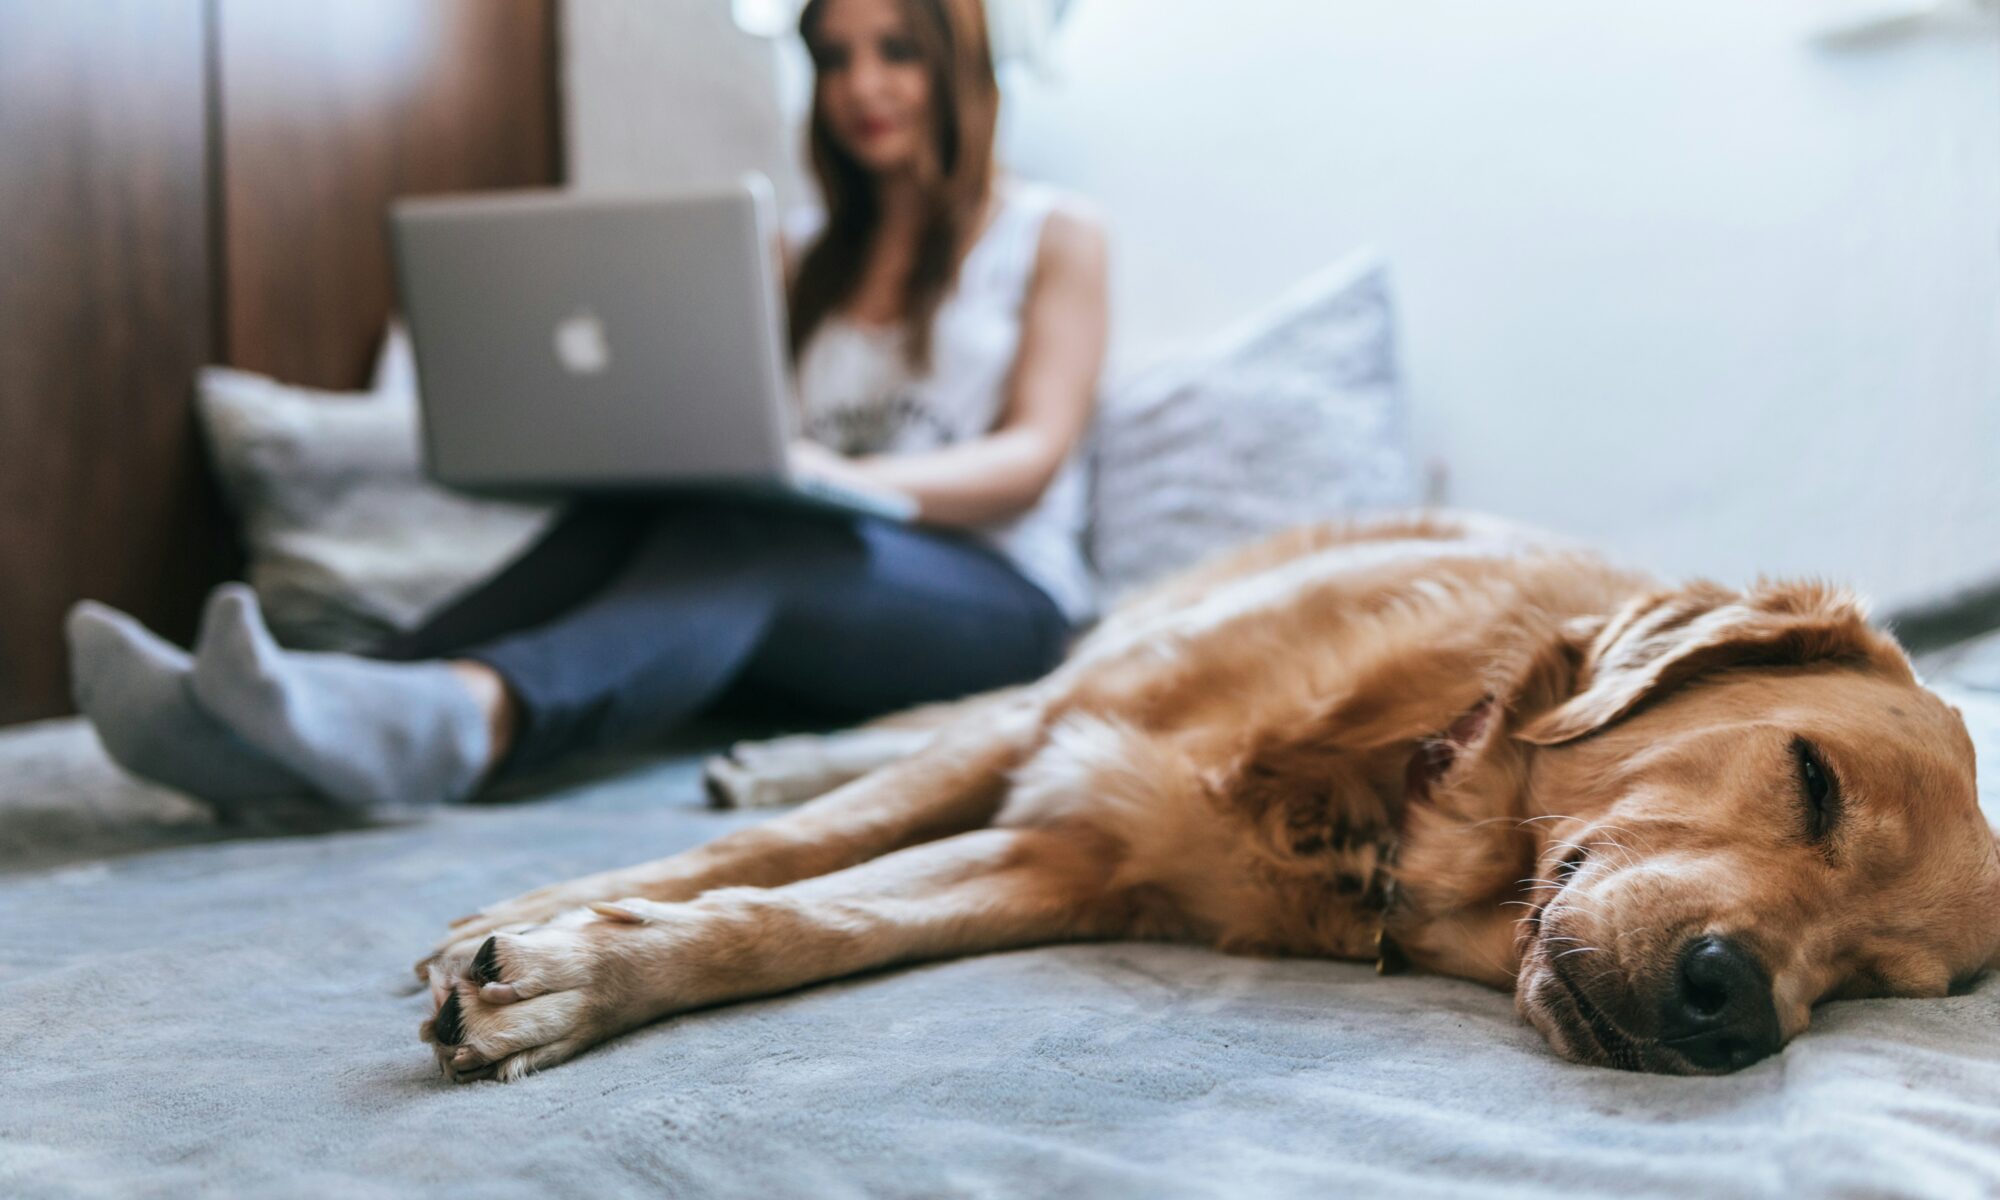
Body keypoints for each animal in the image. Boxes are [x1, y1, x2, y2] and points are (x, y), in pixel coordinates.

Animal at [414, 512, 1992, 1080]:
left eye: (1879, 981)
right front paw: (548, 916)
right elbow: (805, 843)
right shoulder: (1061, 735)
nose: (1734, 1008)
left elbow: (806, 921)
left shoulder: (1061, 861)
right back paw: (771, 751)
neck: (1395, 782)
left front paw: (575, 976)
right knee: (919, 728)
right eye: (1809, 779)